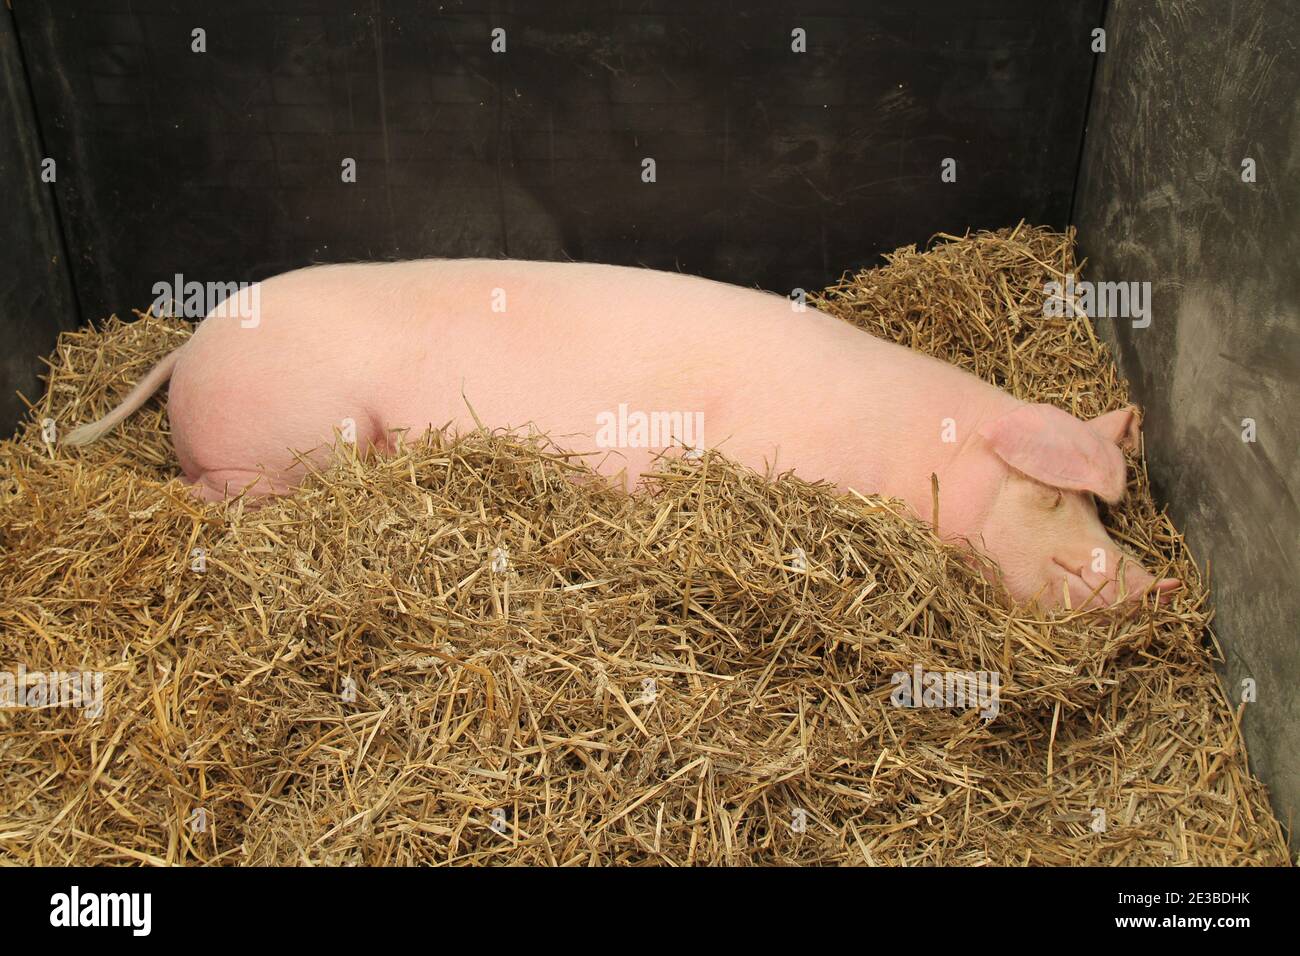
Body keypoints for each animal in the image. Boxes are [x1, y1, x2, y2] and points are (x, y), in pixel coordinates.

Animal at [58, 257, 1180, 608]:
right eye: (1056, 495)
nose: (1153, 586)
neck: (920, 455)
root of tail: (189, 347)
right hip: (296, 437)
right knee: (214, 489)